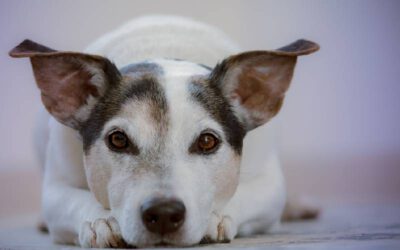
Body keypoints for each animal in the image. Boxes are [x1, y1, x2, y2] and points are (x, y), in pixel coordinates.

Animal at [8, 16, 318, 248]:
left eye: (208, 141)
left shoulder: (269, 184)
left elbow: (246, 194)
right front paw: (101, 220)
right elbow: (74, 200)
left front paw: (215, 217)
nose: (165, 213)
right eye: (118, 139)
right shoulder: (55, 188)